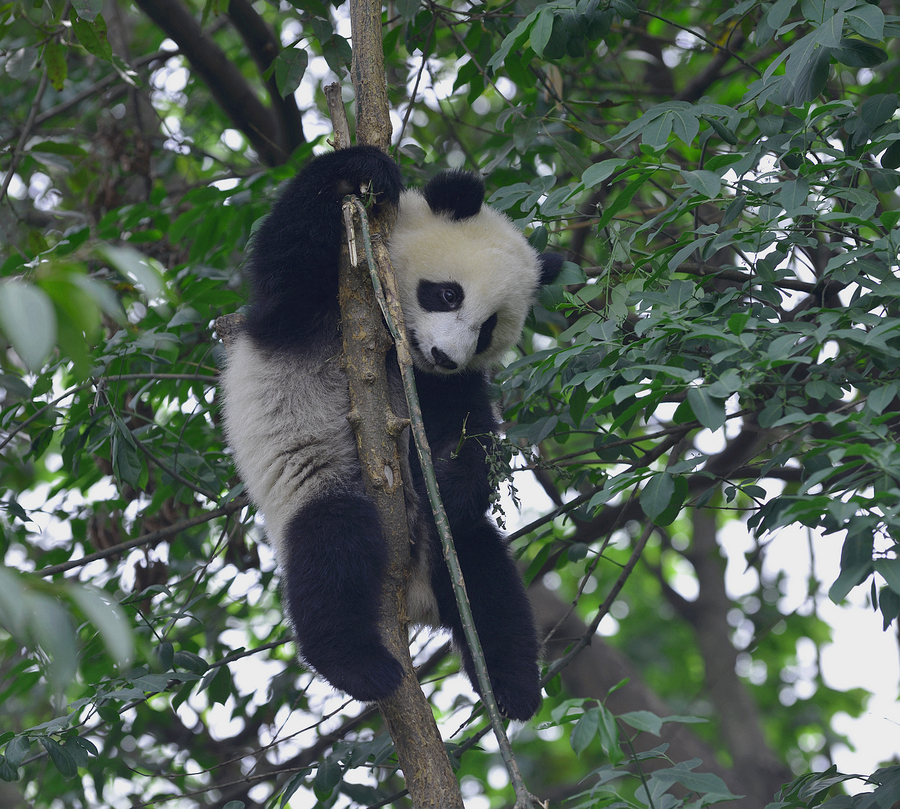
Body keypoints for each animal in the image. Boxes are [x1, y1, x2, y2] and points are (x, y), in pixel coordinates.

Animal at [221, 147, 560, 720]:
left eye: (489, 329)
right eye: (447, 294)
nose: (445, 355)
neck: (391, 341)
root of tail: (417, 597)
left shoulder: (441, 386)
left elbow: (469, 434)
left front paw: (449, 479)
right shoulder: (311, 302)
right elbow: (287, 252)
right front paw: (363, 167)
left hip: (447, 549)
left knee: (483, 568)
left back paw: (512, 686)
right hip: (318, 484)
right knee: (332, 544)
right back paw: (359, 665)